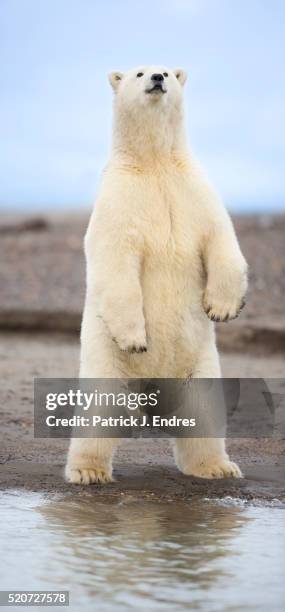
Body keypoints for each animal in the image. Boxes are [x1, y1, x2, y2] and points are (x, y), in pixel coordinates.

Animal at [65, 64, 247, 486]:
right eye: (138, 72)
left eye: (165, 68)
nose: (159, 79)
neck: (154, 164)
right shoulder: (120, 202)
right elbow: (117, 262)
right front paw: (136, 338)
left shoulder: (195, 190)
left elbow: (221, 238)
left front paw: (223, 308)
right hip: (105, 361)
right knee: (99, 413)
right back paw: (87, 471)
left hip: (199, 365)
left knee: (202, 412)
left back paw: (218, 467)